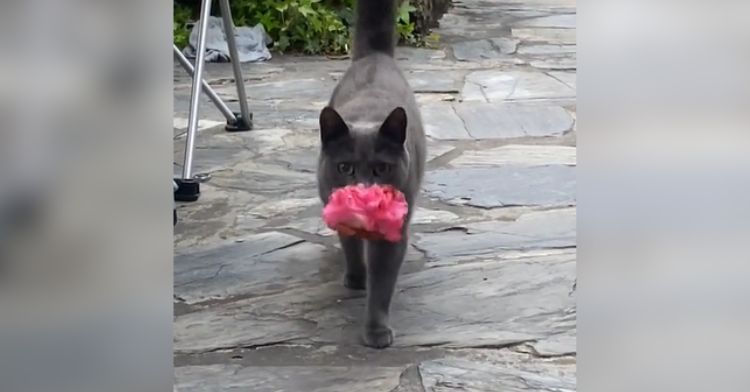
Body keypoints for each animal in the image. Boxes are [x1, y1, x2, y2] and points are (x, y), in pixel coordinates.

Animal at [316, 0, 426, 348]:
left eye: (381, 168)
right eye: (345, 167)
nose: (363, 189)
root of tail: (375, 56)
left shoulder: (395, 233)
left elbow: (382, 283)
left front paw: (376, 331)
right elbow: (349, 244)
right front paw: (355, 278)